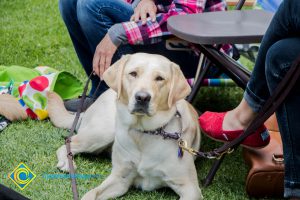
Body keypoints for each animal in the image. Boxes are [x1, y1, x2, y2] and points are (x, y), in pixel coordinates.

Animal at [47, 53, 202, 200]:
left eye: (160, 78)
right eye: (133, 73)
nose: (142, 97)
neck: (144, 133)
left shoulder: (191, 188)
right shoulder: (119, 178)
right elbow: (91, 193)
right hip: (103, 132)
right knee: (68, 142)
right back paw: (66, 162)